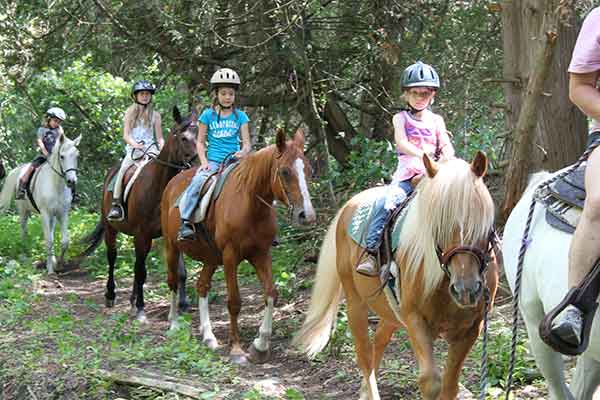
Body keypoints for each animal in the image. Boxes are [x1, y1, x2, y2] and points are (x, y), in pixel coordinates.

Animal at [0, 136, 81, 274]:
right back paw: (24, 251)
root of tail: (18, 169)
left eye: (77, 155)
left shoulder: (63, 213)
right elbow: (48, 240)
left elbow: (64, 241)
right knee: (23, 229)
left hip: (52, 216)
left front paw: (59, 264)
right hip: (23, 211)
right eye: (62, 156)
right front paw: (50, 270)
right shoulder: (45, 213)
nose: (71, 181)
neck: (56, 185)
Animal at [79, 107, 197, 322]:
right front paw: (142, 309)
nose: (199, 164)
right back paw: (111, 295)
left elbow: (180, 271)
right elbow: (141, 271)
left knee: (135, 262)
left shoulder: (168, 234)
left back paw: (132, 299)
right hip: (111, 229)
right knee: (112, 257)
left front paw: (183, 304)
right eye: (184, 138)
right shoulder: (143, 234)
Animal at [162, 129, 316, 366]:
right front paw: (236, 349)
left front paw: (260, 346)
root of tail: (172, 183)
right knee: (172, 282)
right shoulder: (230, 256)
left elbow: (271, 294)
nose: (306, 215)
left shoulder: (261, 254)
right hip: (172, 248)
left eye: (309, 170)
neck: (250, 203)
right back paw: (174, 324)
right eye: (285, 171)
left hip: (211, 257)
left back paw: (209, 336)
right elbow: (234, 301)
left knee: (202, 286)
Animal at [294, 153, 496, 400]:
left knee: (378, 342)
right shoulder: (415, 319)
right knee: (364, 354)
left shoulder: (470, 329)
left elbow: (450, 387)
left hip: (390, 313)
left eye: (484, 223)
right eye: (437, 226)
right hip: (355, 303)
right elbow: (430, 382)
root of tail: (348, 207)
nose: (465, 289)